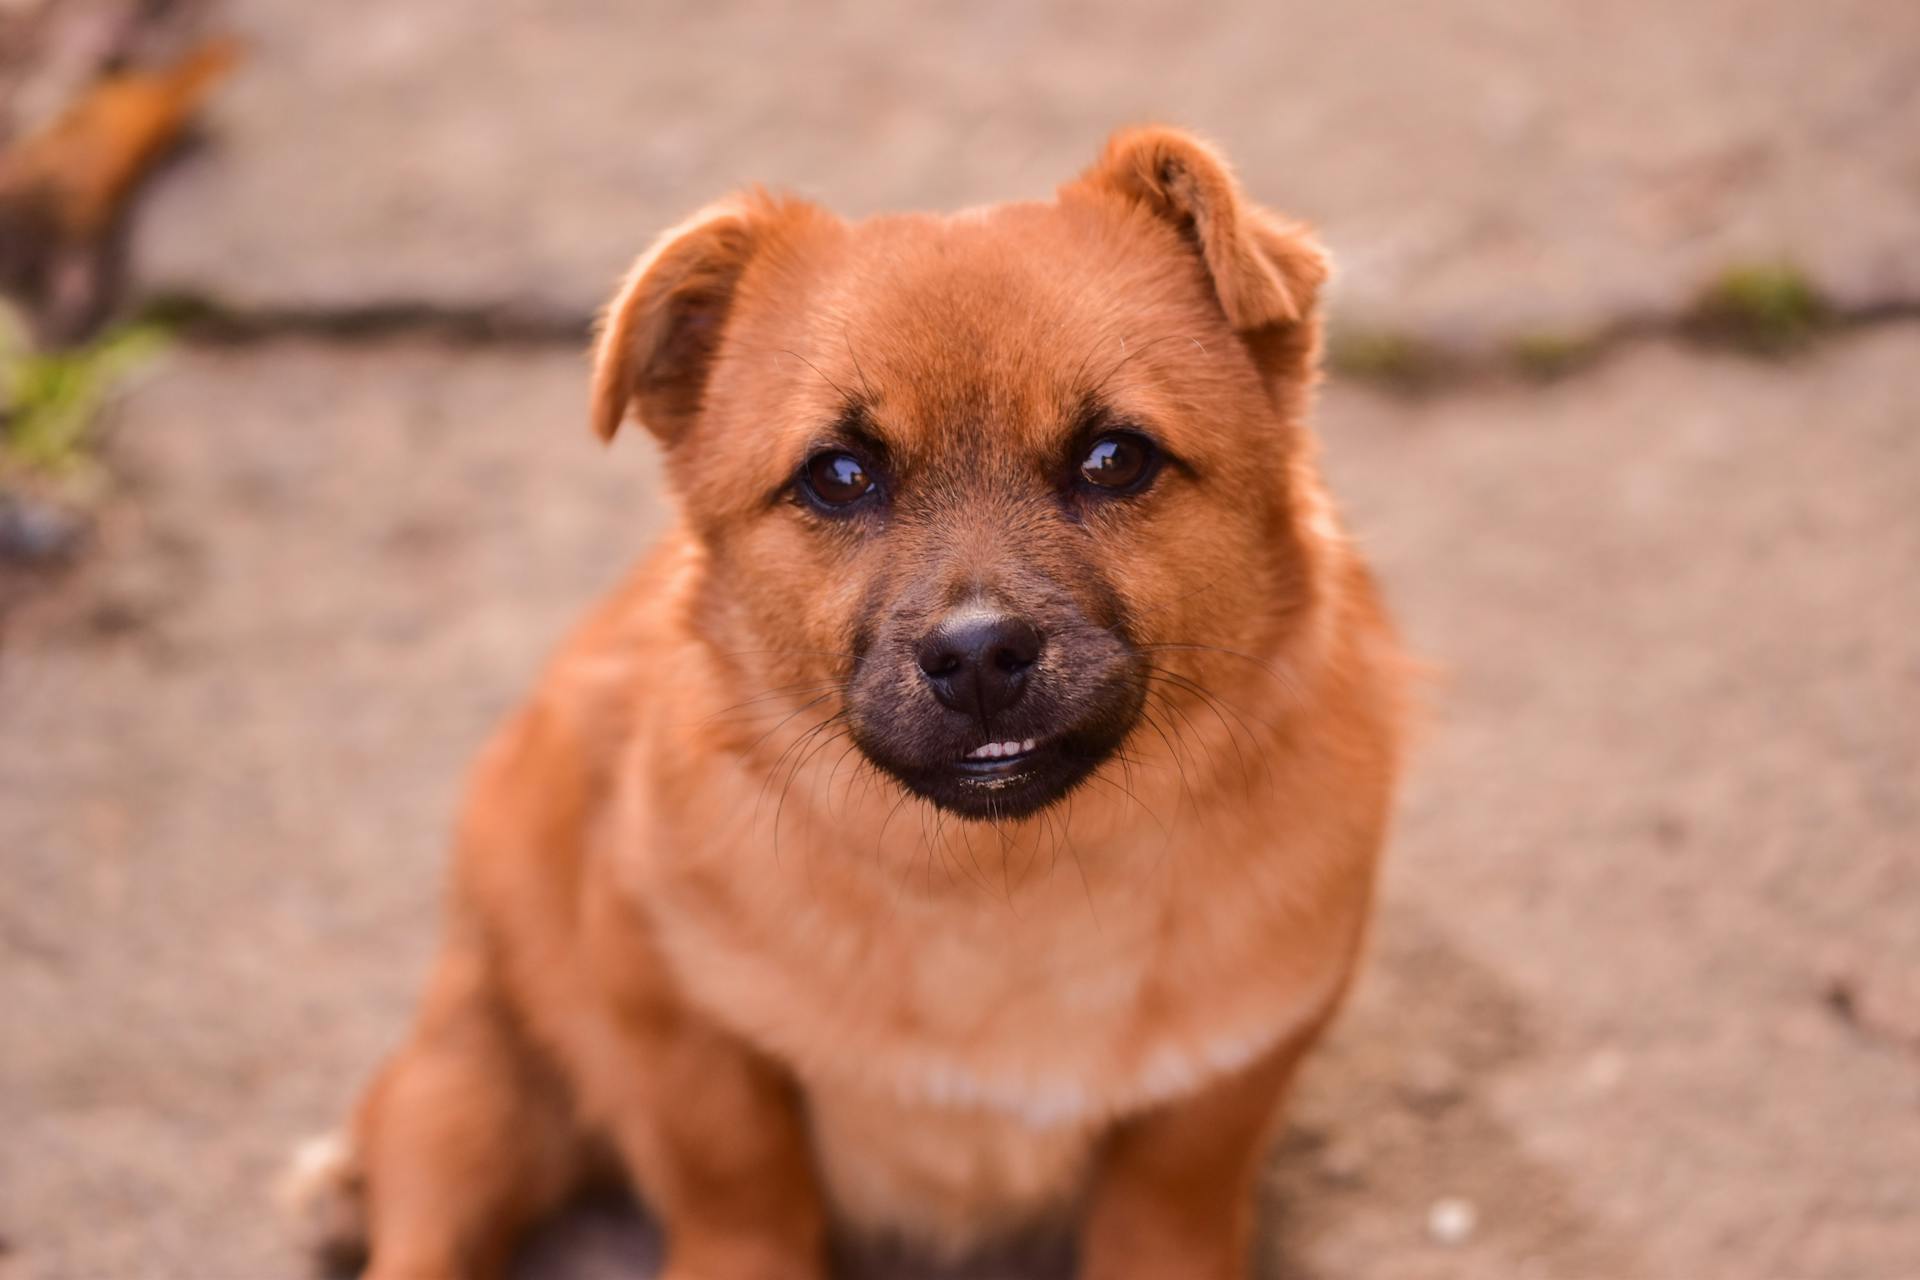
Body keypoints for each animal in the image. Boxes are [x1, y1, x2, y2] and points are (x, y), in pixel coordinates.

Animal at [284, 124, 1413, 1274]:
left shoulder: (1226, 1083)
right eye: (837, 475)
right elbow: (738, 1181)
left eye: (1116, 458)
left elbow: (1170, 1198)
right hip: (477, 1077)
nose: (978, 653)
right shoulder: (669, 1005)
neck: (1004, 890)